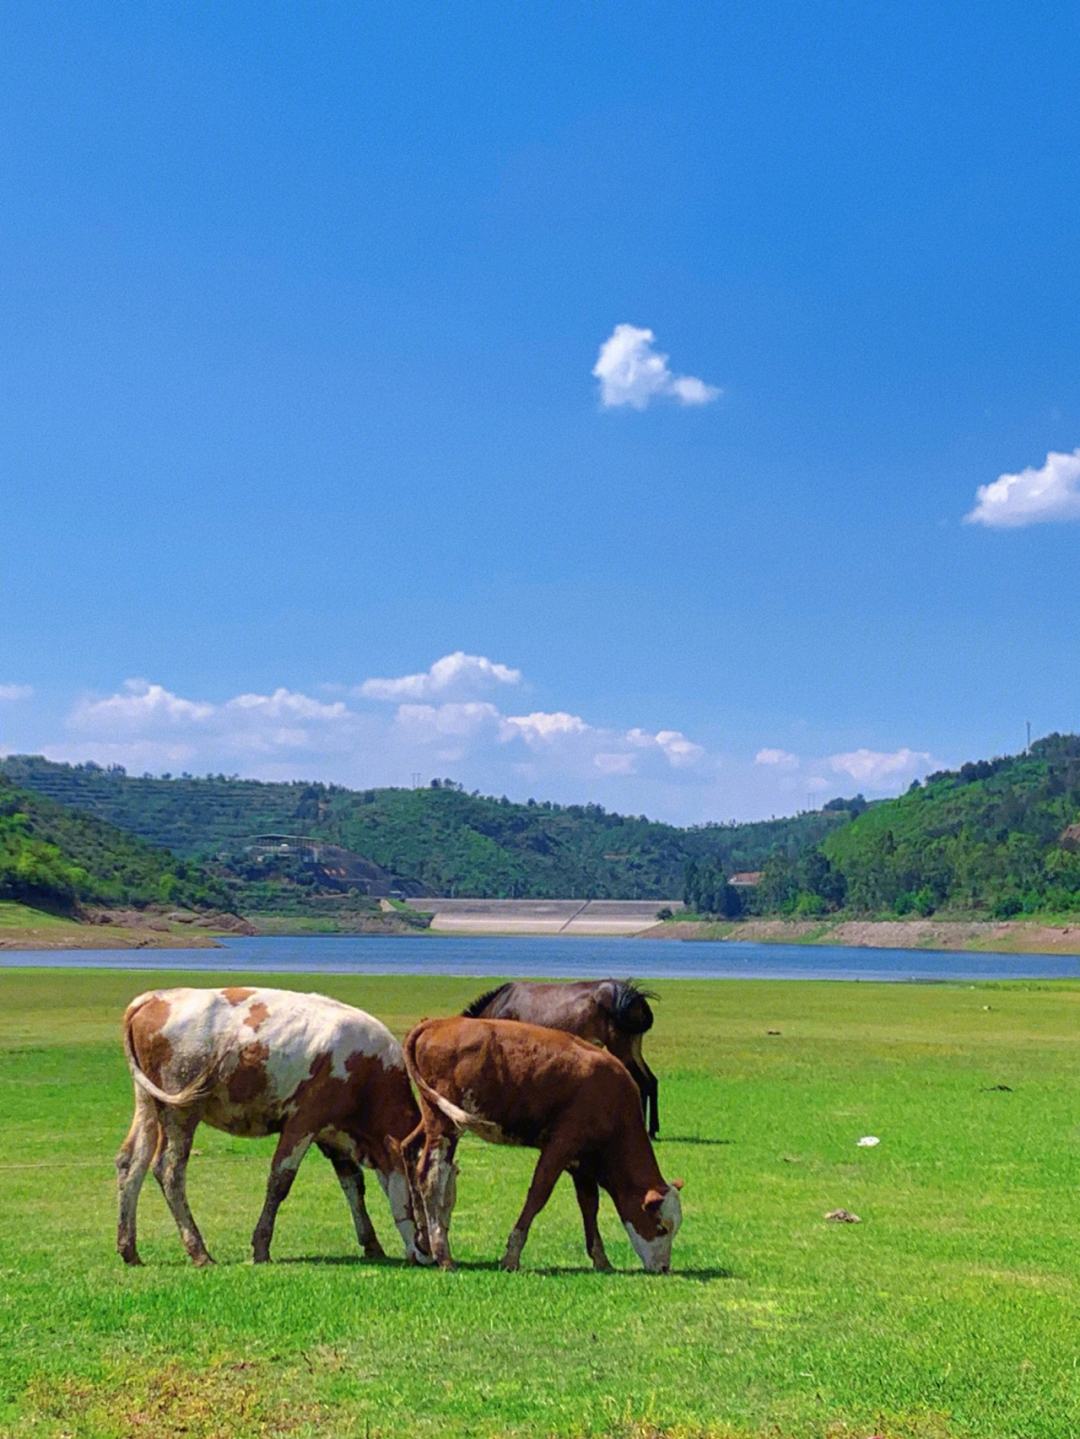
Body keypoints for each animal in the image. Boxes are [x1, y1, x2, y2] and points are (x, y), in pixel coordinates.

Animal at [117, 984, 431, 1266]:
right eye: (421, 1188)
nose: (431, 1252)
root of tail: (154, 998)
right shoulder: (303, 1123)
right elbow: (280, 1182)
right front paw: (261, 1248)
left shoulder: (333, 1134)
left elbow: (354, 1185)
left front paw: (372, 1245)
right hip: (180, 1110)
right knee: (169, 1170)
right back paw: (199, 1252)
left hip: (147, 1103)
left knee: (131, 1163)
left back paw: (129, 1250)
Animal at [396, 1018, 684, 1277]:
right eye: (660, 1226)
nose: (664, 1268)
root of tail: (436, 1023)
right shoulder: (561, 1145)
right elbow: (538, 1195)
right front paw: (511, 1256)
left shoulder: (582, 1164)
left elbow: (589, 1206)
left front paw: (601, 1260)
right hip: (445, 1124)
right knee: (431, 1177)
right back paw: (443, 1255)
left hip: (432, 1117)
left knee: (409, 1150)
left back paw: (424, 1244)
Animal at [463, 978, 664, 1133]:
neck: (501, 1004)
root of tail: (636, 996)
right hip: (634, 1048)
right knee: (651, 1081)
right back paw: (653, 1129)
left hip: (621, 1047)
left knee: (640, 1082)